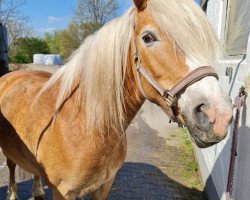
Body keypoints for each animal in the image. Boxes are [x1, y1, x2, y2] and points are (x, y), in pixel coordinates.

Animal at [0, 0, 232, 199]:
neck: (85, 125)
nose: (219, 116)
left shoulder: (104, 186)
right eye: (148, 38)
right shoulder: (62, 193)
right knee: (11, 165)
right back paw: (12, 194)